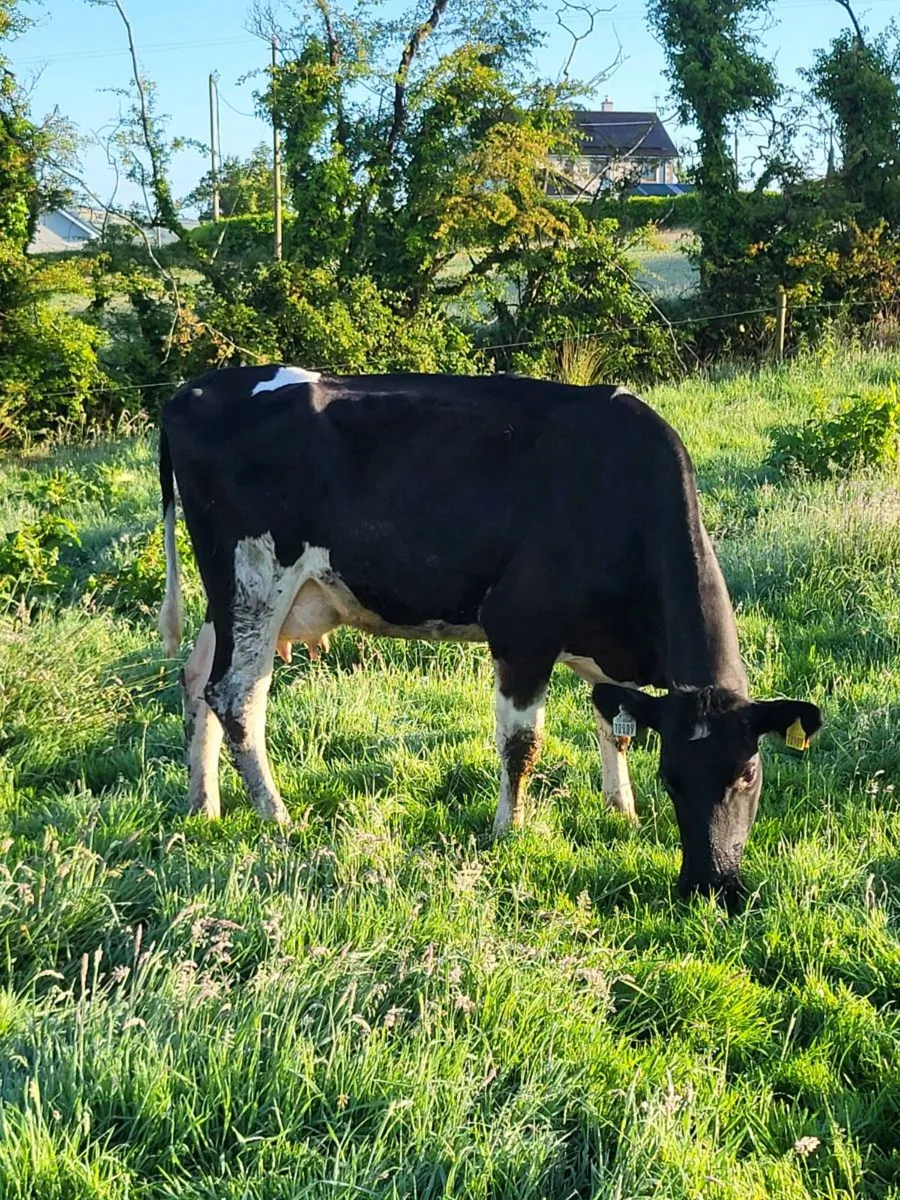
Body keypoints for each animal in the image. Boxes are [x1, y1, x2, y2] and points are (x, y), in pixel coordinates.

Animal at [157, 364, 822, 907]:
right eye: (674, 777)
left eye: (747, 775)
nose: (711, 887)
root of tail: (195, 389)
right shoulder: (521, 631)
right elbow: (521, 744)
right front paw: (509, 830)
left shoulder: (604, 655)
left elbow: (613, 722)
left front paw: (622, 812)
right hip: (255, 577)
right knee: (236, 694)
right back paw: (276, 817)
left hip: (229, 596)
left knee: (196, 680)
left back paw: (204, 806)